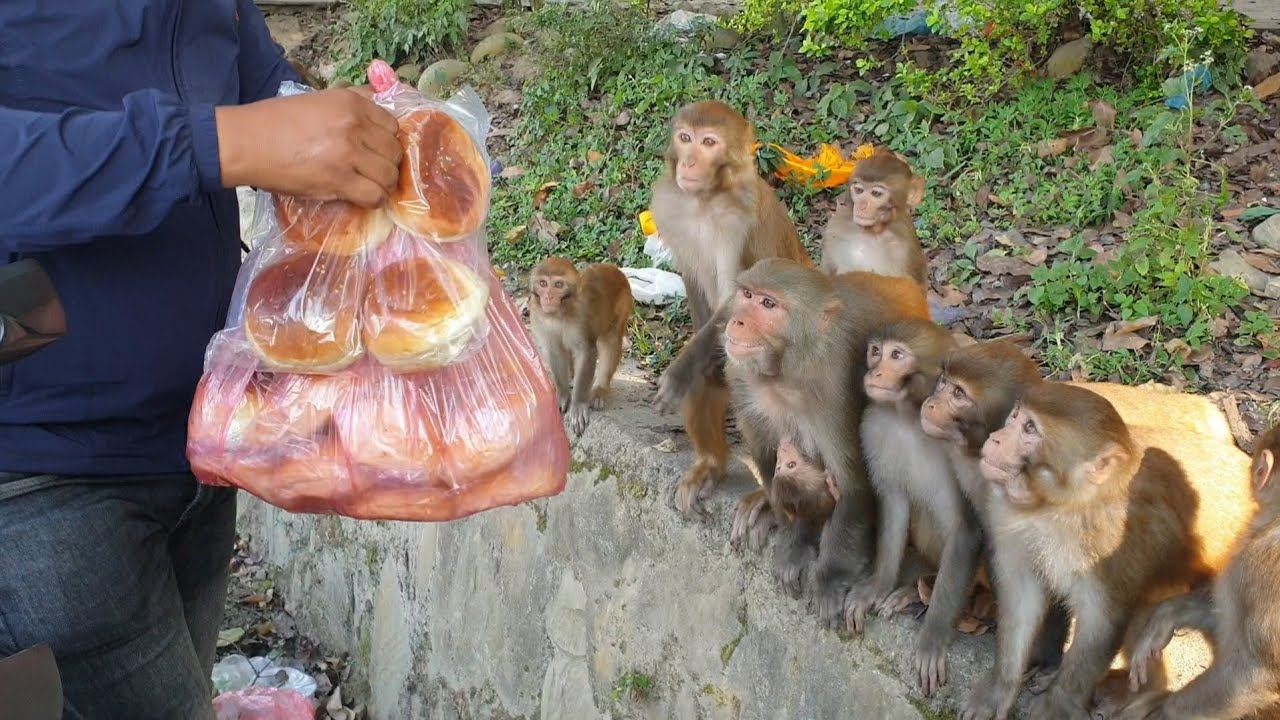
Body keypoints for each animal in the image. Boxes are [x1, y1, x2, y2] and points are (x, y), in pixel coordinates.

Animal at [527, 257, 634, 437]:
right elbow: (555, 351)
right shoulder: (538, 316)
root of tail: (614, 269)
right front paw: (563, 395)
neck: (560, 313)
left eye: (558, 285)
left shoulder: (580, 318)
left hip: (624, 302)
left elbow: (586, 352)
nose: (548, 297)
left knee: (610, 340)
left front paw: (577, 406)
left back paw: (599, 389)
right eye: (543, 283)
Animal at [646, 99, 812, 518]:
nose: (689, 162)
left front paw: (678, 373)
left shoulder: (738, 222)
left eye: (709, 142)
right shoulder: (669, 204)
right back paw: (711, 464)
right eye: (685, 137)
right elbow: (693, 279)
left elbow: (737, 296)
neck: (705, 200)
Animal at [717, 259, 931, 621]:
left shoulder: (836, 391)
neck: (786, 373)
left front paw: (830, 578)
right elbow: (771, 463)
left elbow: (853, 485)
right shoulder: (743, 376)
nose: (737, 320)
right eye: (747, 294)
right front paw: (793, 542)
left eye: (768, 304)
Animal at [819, 148, 929, 288]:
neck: (871, 232)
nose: (861, 206)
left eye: (876, 193)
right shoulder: (835, 226)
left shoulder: (903, 250)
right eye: (859, 190)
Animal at [841, 317, 982, 697]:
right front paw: (877, 586)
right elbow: (894, 502)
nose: (874, 372)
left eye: (897, 355)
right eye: (876, 351)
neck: (907, 416)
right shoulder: (874, 426)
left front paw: (933, 636)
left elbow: (965, 527)